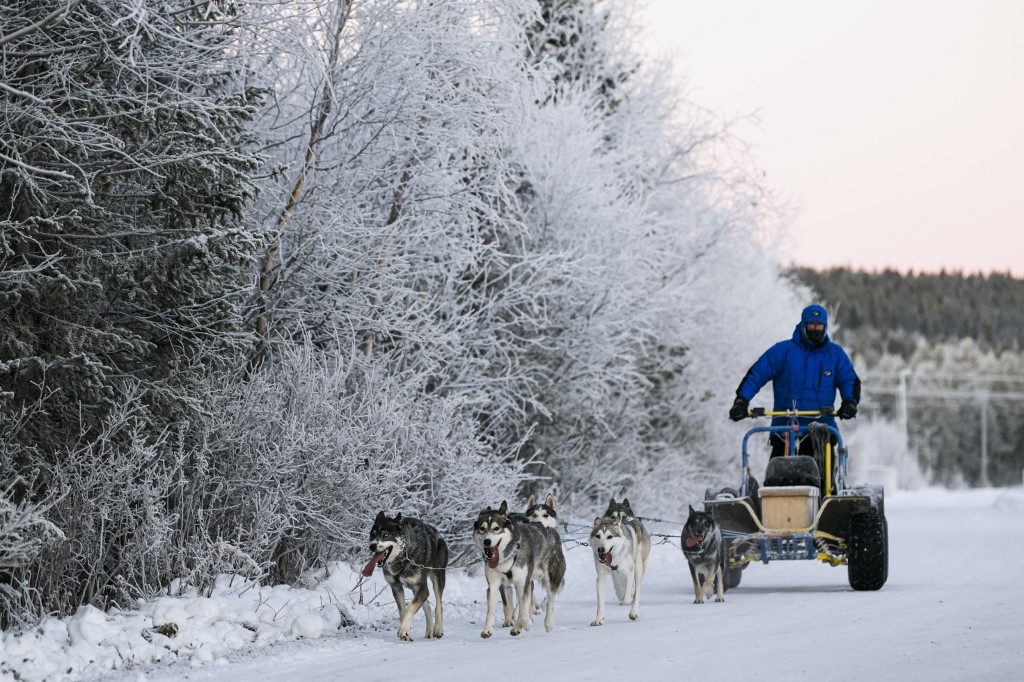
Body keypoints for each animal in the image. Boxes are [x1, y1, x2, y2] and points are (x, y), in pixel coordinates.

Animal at [362, 509, 446, 638]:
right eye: (373, 534)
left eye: (386, 535)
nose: (372, 546)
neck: (403, 558)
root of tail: (437, 533)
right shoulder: (396, 587)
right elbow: (403, 610)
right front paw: (407, 633)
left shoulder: (422, 588)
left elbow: (410, 608)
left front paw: (402, 630)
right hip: (416, 589)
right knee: (427, 606)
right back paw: (429, 629)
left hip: (437, 578)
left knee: (439, 605)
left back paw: (437, 628)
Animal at [473, 499, 569, 638]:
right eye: (482, 528)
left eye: (497, 528)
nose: (487, 541)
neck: (507, 556)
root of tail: (546, 527)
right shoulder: (494, 584)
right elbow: (492, 609)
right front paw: (487, 630)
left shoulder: (523, 582)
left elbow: (523, 607)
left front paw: (526, 623)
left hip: (551, 575)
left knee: (550, 599)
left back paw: (547, 623)